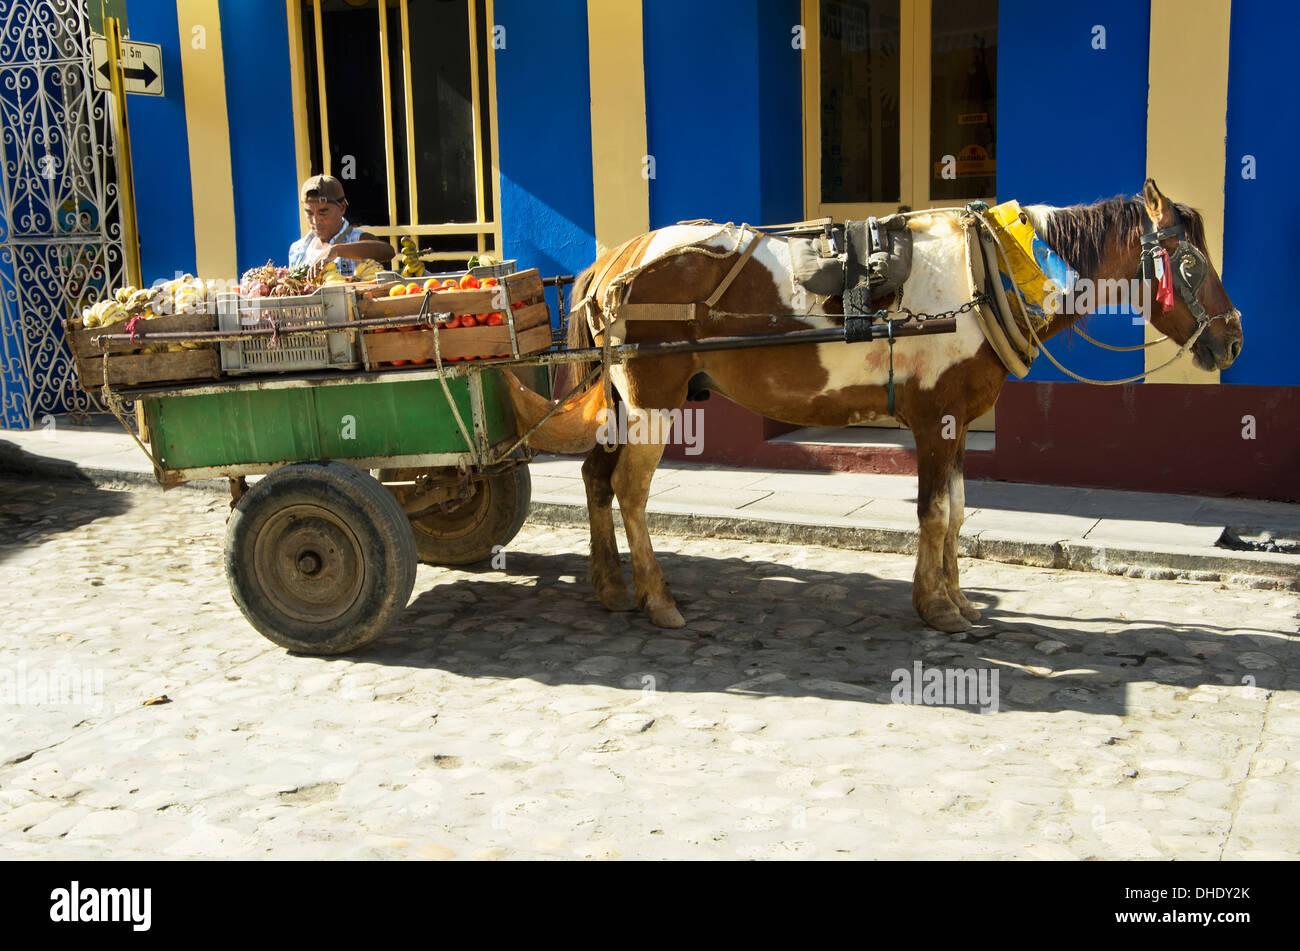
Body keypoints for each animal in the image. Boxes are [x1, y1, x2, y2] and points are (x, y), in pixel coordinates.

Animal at [506, 181, 1237, 634]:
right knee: (629, 489)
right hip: (653, 403)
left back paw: (609, 588)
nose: (1233, 339)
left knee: (596, 479)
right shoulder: (934, 417)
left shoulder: (955, 419)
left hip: (621, 403)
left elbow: (958, 511)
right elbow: (935, 512)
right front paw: (938, 608)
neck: (991, 270)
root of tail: (616, 261)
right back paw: (657, 599)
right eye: (1193, 265)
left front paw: (959, 600)